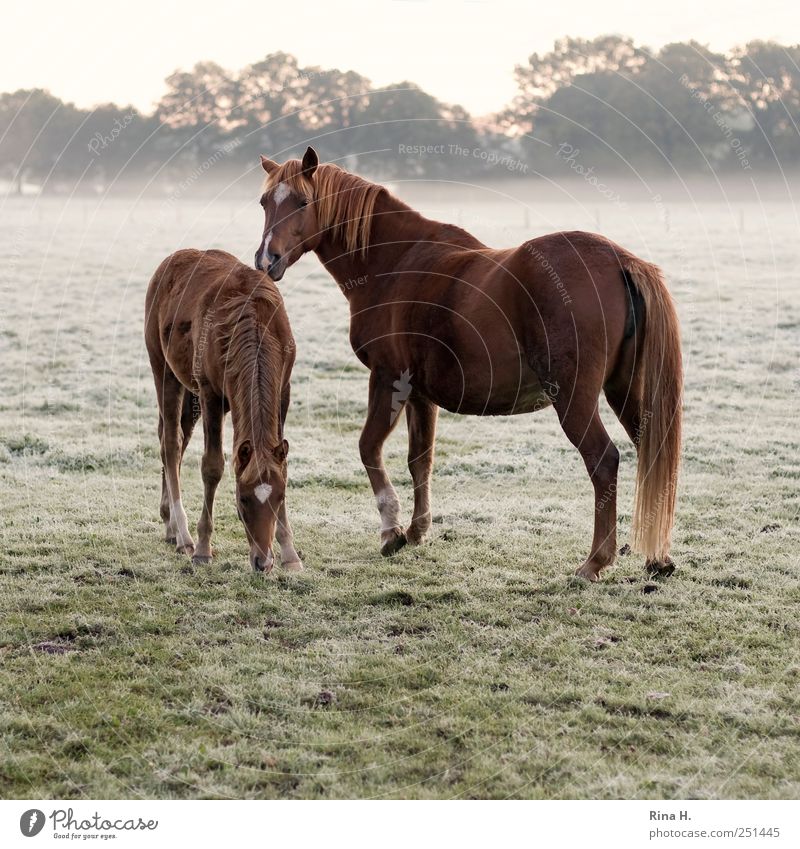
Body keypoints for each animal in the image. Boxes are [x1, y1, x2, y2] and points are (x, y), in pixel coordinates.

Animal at [145, 248, 302, 572]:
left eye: (279, 497)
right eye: (242, 499)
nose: (262, 561)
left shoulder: (284, 391)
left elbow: (283, 464)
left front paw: (290, 553)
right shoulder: (210, 393)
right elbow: (212, 466)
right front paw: (203, 548)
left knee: (178, 438)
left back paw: (169, 524)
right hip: (164, 369)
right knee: (170, 443)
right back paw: (183, 535)